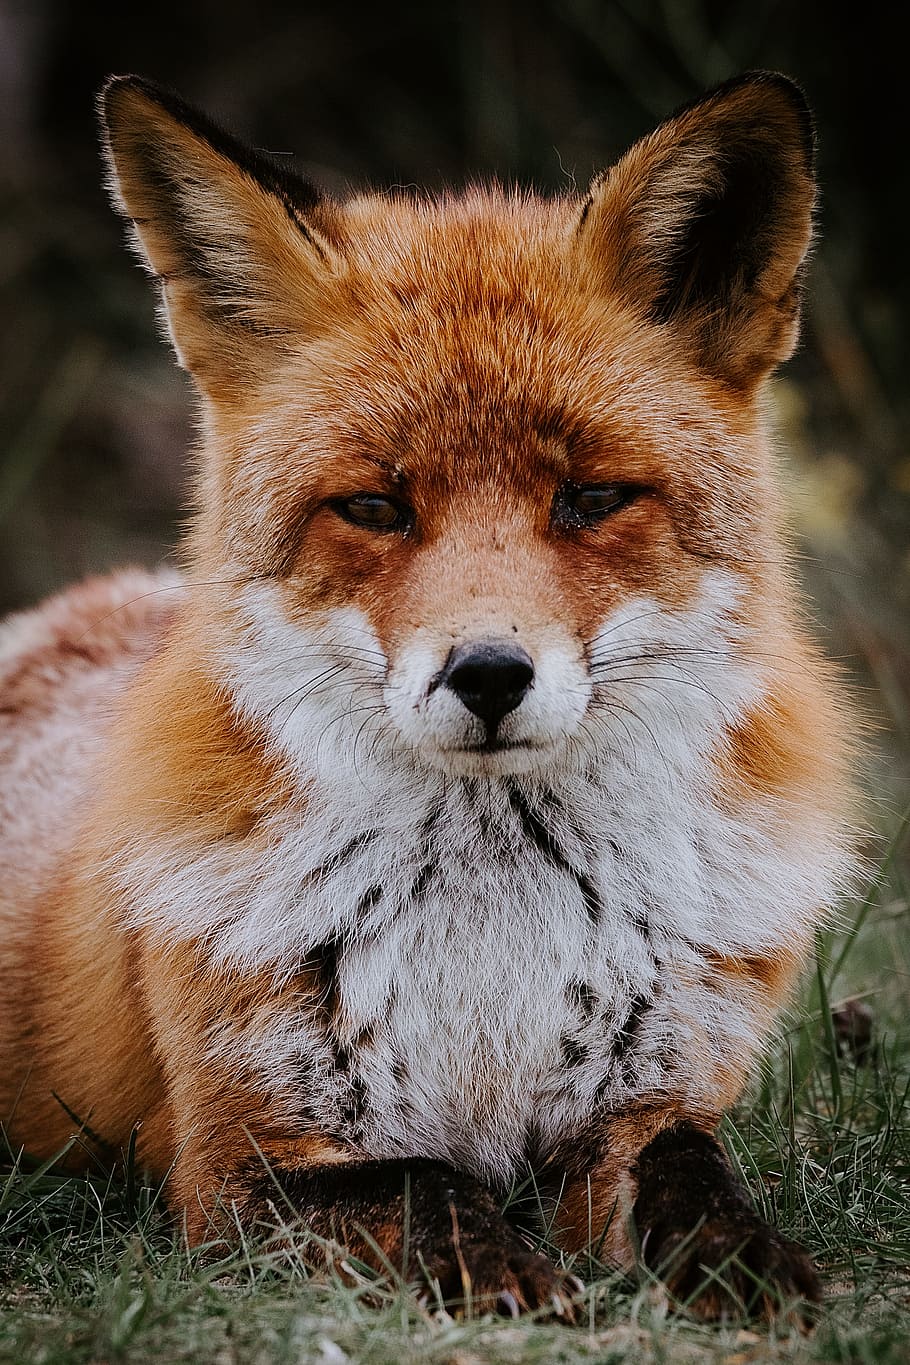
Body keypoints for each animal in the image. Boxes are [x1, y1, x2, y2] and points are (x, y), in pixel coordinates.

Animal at [0, 70, 855, 1320]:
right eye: (374, 508)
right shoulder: (234, 1159)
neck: (495, 929)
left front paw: (753, 1274)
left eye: (591, 499)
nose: (489, 673)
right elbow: (428, 1187)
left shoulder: (642, 1105)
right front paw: (519, 1286)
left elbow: (695, 1177)